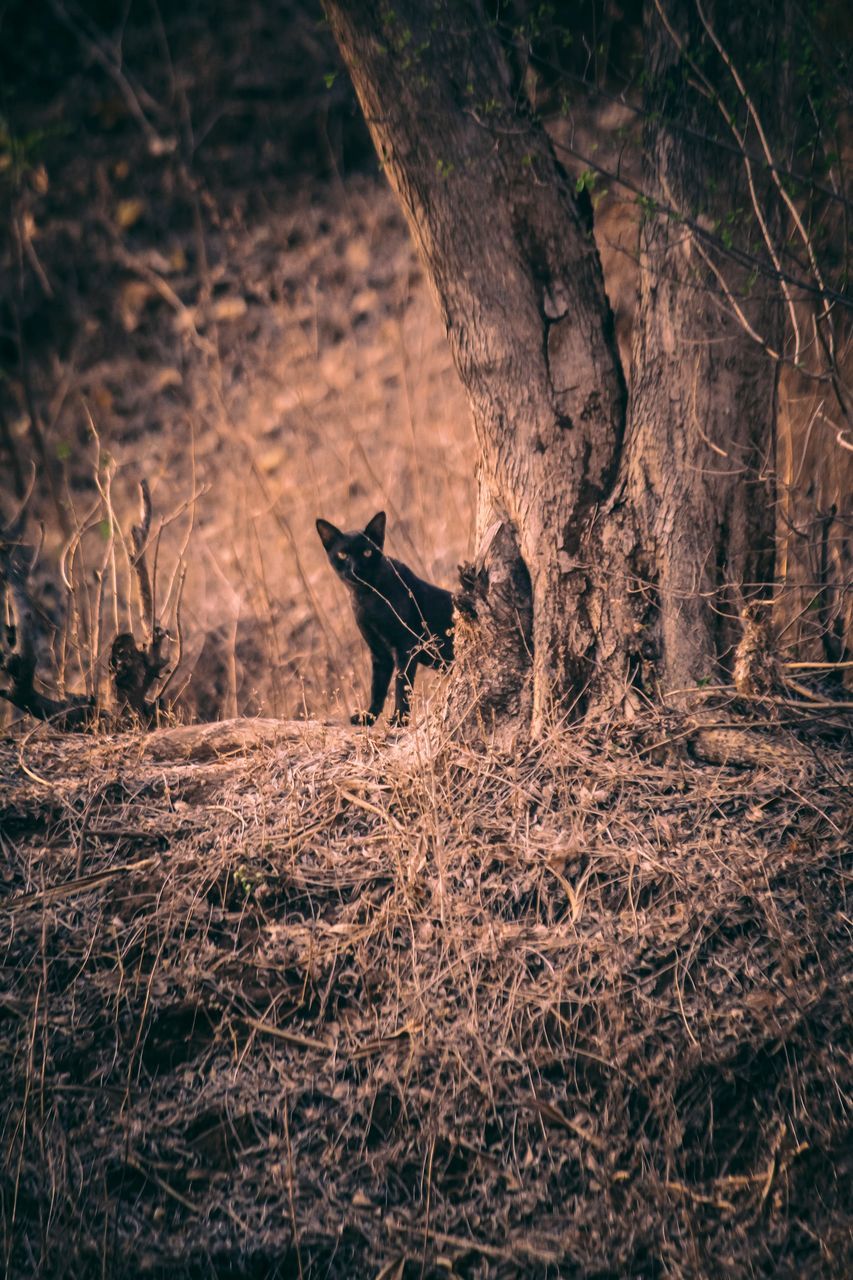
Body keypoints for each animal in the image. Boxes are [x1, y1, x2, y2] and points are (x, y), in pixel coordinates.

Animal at [315, 512, 450, 732]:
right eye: (343, 555)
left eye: (367, 552)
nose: (356, 569)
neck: (367, 599)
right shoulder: (379, 652)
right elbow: (377, 689)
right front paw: (367, 718)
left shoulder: (406, 646)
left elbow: (401, 685)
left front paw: (399, 721)